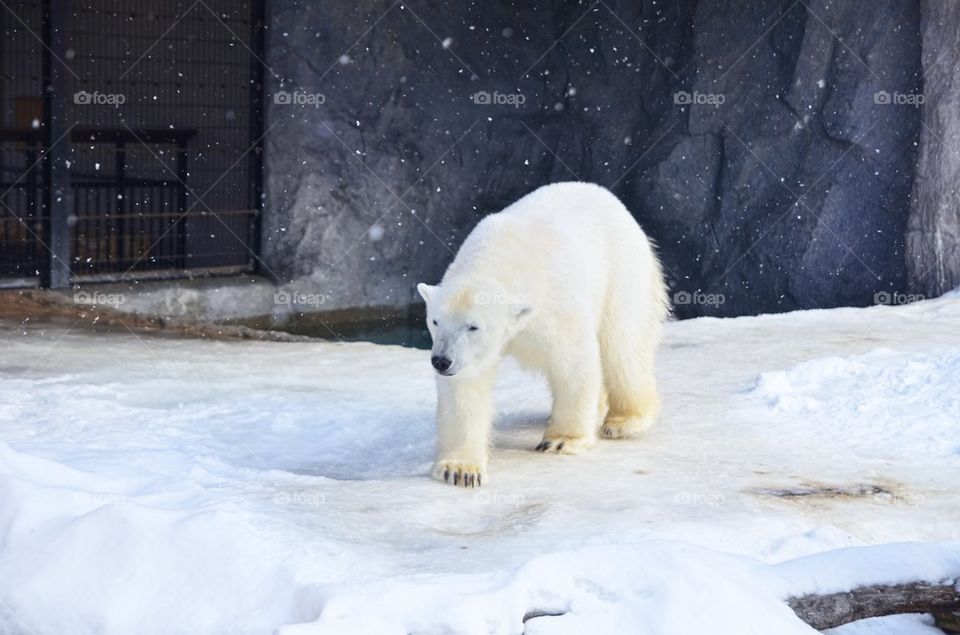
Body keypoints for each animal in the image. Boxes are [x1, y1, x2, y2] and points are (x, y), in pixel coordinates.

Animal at [417, 181, 668, 487]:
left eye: (473, 326)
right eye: (435, 321)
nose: (442, 361)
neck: (504, 254)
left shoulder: (555, 302)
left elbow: (574, 361)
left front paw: (561, 441)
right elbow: (466, 385)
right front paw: (460, 470)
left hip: (622, 271)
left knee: (622, 344)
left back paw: (624, 421)